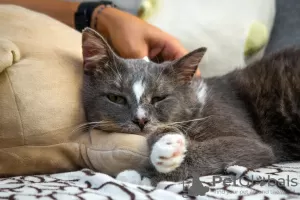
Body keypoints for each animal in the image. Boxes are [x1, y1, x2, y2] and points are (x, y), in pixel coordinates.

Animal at [81, 27, 300, 186]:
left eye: (159, 98)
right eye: (116, 98)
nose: (141, 119)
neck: (196, 104)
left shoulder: (250, 140)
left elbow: (227, 147)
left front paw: (148, 172)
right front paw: (167, 143)